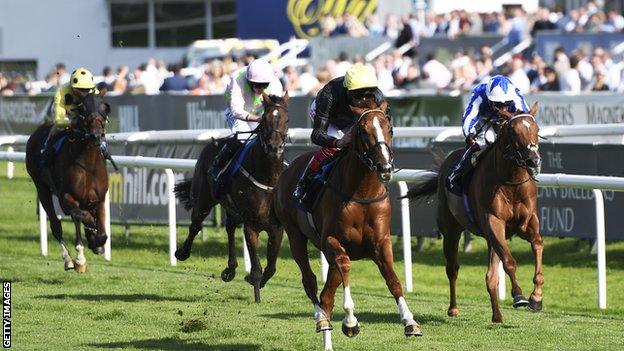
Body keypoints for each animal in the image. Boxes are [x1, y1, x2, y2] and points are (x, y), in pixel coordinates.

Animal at [25, 94, 111, 276]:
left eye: (105, 107)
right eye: (82, 108)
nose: (96, 136)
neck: (88, 164)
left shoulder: (99, 199)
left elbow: (103, 234)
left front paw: (96, 242)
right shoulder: (66, 198)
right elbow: (83, 216)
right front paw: (88, 240)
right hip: (41, 187)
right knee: (56, 225)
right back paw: (71, 259)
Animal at [174, 93, 288, 302]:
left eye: (286, 119)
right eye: (265, 119)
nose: (274, 147)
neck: (267, 178)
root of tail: (214, 141)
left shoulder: (277, 228)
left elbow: (271, 268)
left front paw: (254, 280)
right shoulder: (251, 224)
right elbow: (257, 268)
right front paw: (256, 291)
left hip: (232, 209)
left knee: (229, 228)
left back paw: (230, 269)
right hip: (203, 199)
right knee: (195, 225)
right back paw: (182, 252)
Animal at [272, 99, 420, 351]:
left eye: (389, 129)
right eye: (363, 131)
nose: (384, 167)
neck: (362, 193)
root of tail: (288, 168)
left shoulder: (381, 243)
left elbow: (393, 280)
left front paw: (410, 321)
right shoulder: (332, 241)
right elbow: (345, 265)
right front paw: (350, 321)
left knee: (327, 296)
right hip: (295, 235)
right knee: (311, 282)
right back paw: (321, 319)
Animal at [404, 102, 540, 324]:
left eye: (536, 129)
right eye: (513, 131)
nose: (533, 161)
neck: (510, 181)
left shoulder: (525, 223)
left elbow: (537, 244)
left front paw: (537, 296)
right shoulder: (494, 222)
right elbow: (509, 262)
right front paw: (519, 296)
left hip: (490, 239)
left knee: (490, 277)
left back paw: (497, 315)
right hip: (451, 229)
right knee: (452, 269)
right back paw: (453, 309)